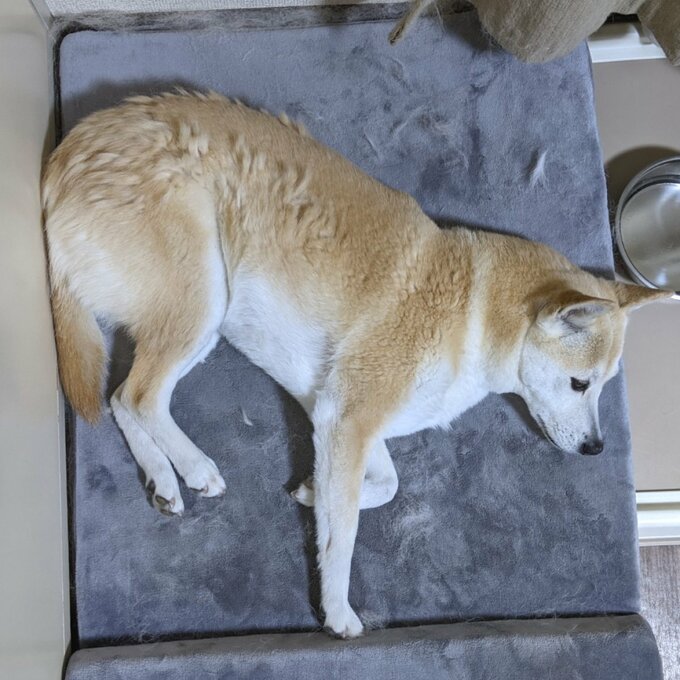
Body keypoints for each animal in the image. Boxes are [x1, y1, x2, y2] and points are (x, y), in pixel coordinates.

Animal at [42, 91, 668, 638]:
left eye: (605, 386)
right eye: (580, 383)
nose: (597, 449)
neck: (474, 309)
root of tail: (65, 157)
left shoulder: (339, 418)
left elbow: (384, 487)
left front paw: (311, 495)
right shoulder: (348, 419)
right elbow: (343, 536)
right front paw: (337, 609)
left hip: (204, 321)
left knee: (121, 398)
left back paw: (165, 478)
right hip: (206, 300)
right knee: (140, 396)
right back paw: (195, 468)